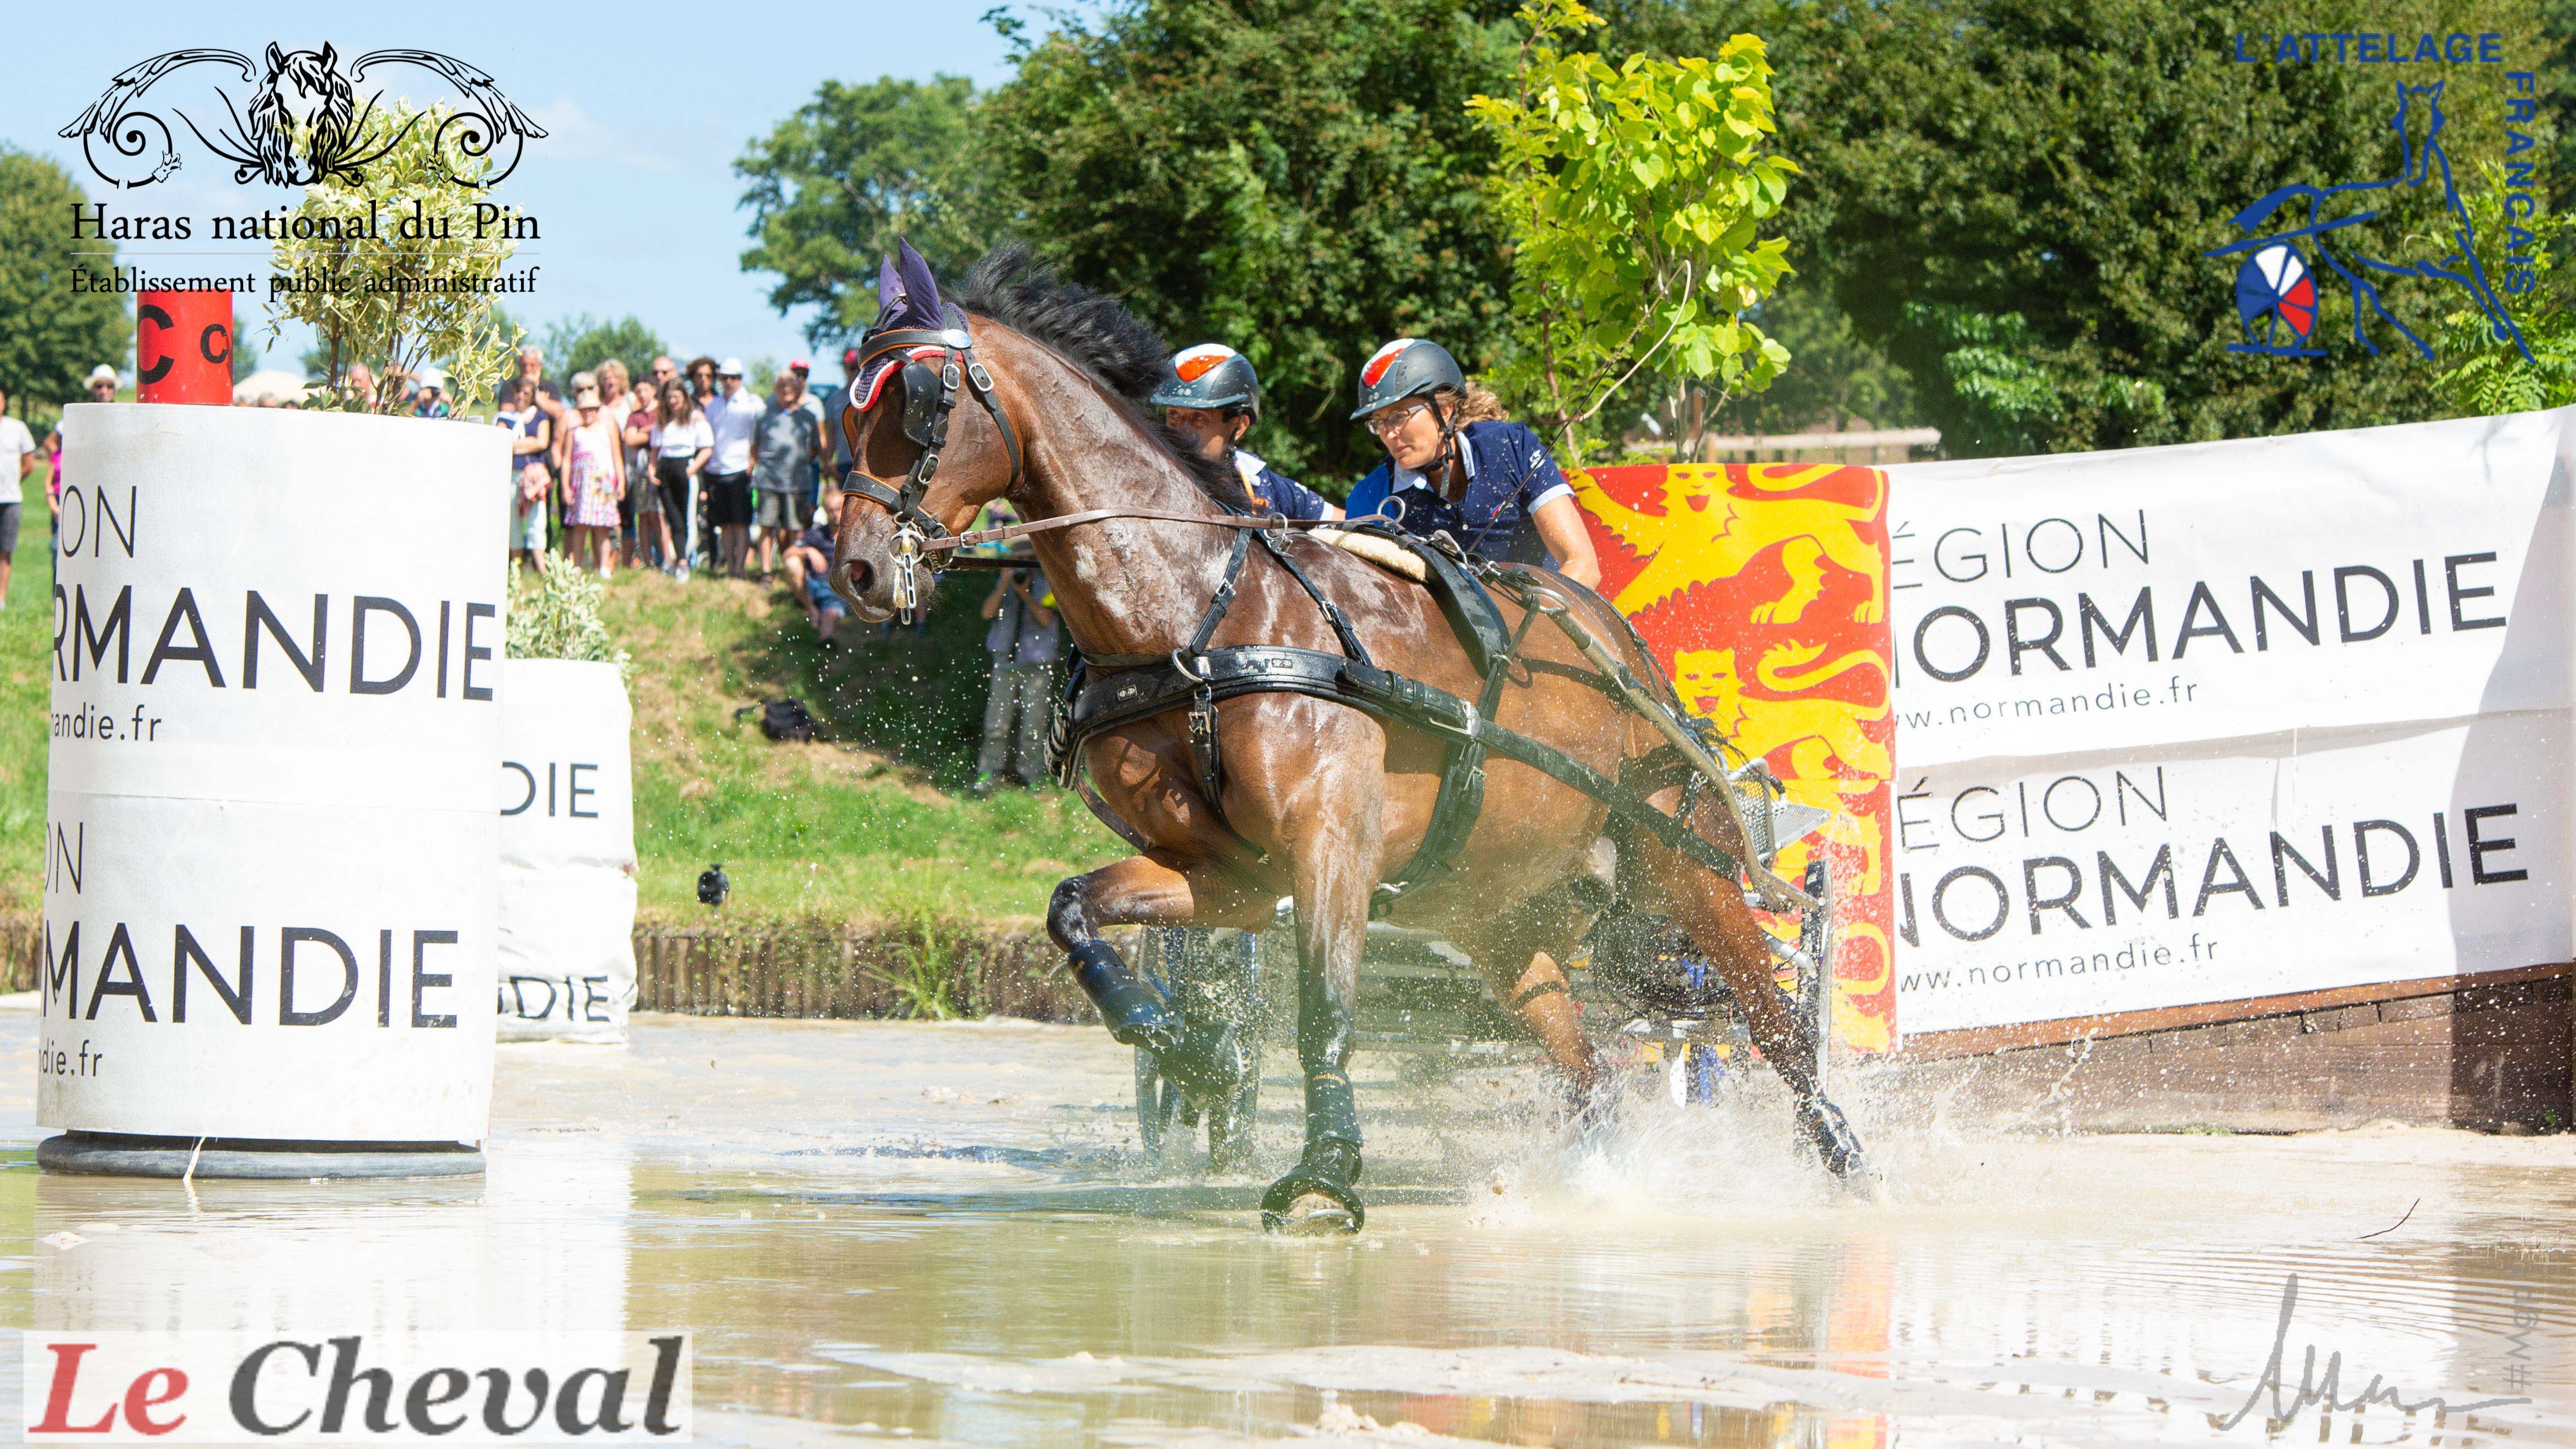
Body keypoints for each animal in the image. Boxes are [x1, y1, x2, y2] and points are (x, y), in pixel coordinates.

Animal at [830, 243, 1872, 1232]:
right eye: (851, 410)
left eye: (916, 404)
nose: (858, 568)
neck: (1199, 622)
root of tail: (1625, 651)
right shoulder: (1231, 874)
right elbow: (1075, 916)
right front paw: (1200, 1054)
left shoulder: (1330, 844)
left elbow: (1323, 1011)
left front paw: (1324, 1171)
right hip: (1494, 906)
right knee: (1585, 1065)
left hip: (1679, 860)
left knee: (1775, 1023)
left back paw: (1845, 1156)